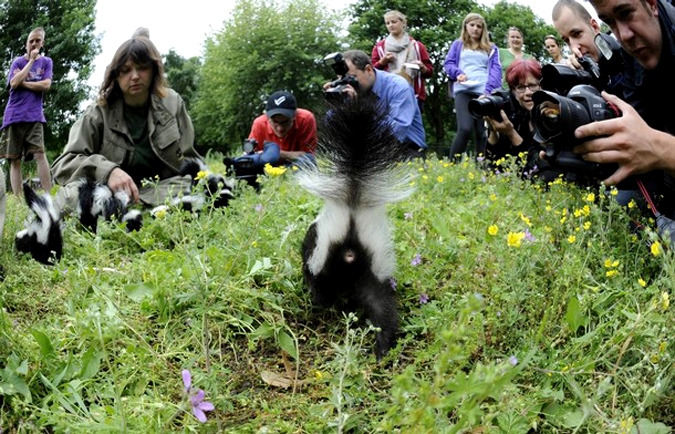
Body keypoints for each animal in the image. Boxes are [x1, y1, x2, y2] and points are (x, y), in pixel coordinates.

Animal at [298, 94, 414, 360]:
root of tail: (352, 215)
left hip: (323, 261)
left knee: (323, 292)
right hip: (374, 269)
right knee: (382, 309)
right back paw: (382, 348)